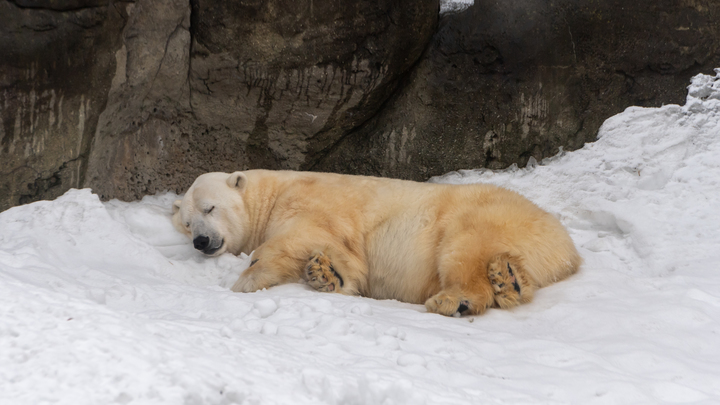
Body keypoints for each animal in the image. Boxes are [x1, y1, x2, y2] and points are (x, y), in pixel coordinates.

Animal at [172, 170, 584, 316]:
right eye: (188, 223)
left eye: (210, 208)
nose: (202, 241)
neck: (272, 191)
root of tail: (564, 243)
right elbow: (343, 258)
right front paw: (328, 275)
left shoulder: (309, 200)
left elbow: (302, 235)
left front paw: (246, 280)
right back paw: (509, 279)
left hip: (482, 215)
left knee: (463, 249)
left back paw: (456, 299)